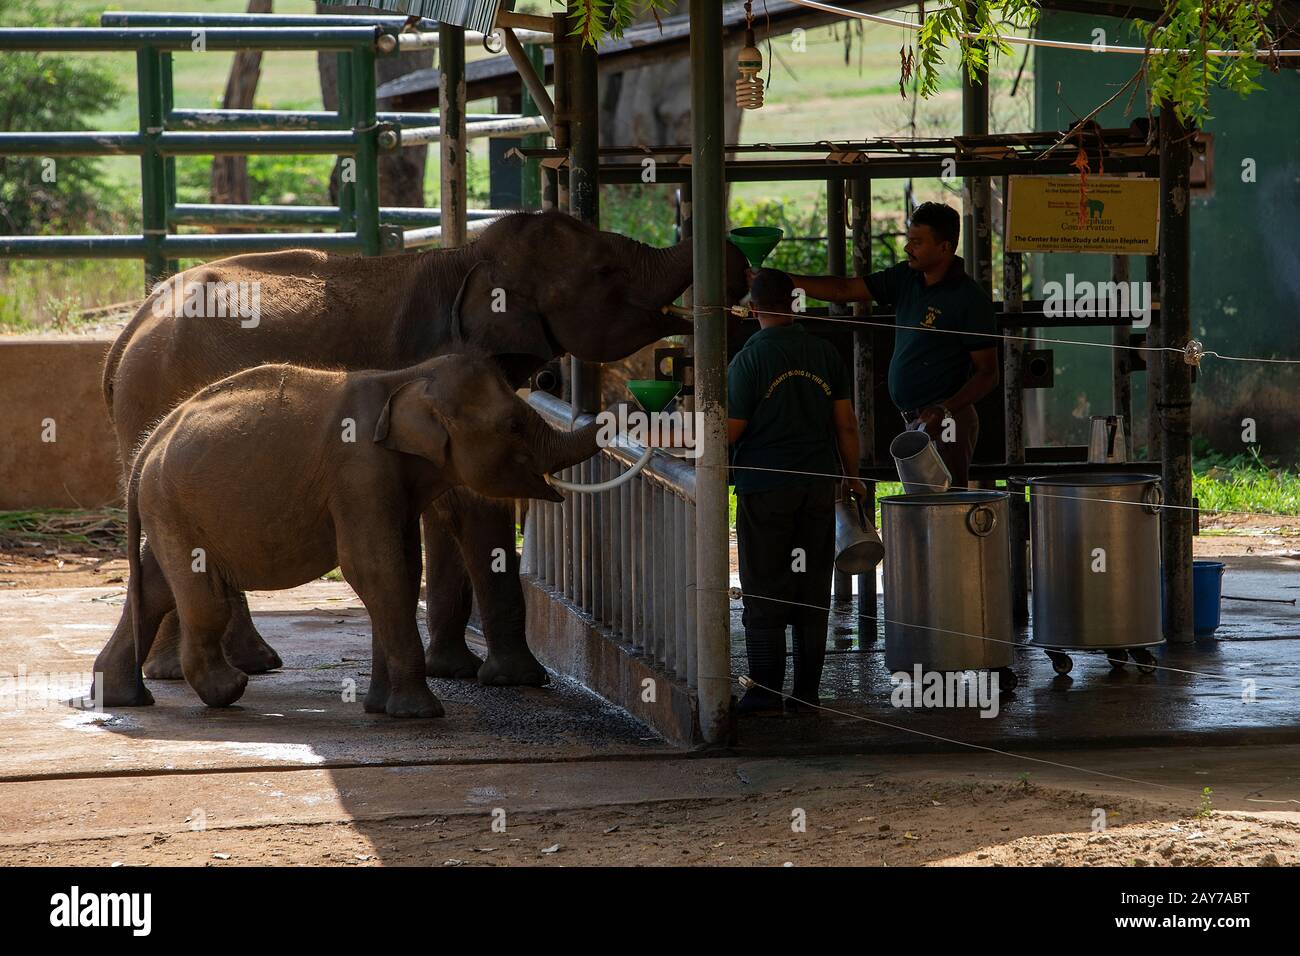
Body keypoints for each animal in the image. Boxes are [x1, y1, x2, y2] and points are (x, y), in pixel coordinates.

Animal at [113, 351, 598, 717]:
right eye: (514, 426)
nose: (550, 376)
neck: (406, 377)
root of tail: (148, 442)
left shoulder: (391, 483)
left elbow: (403, 569)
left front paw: (381, 708)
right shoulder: (360, 471)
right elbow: (373, 569)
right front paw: (421, 714)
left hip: (168, 510)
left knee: (154, 589)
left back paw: (123, 698)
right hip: (173, 505)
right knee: (202, 598)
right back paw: (226, 690)